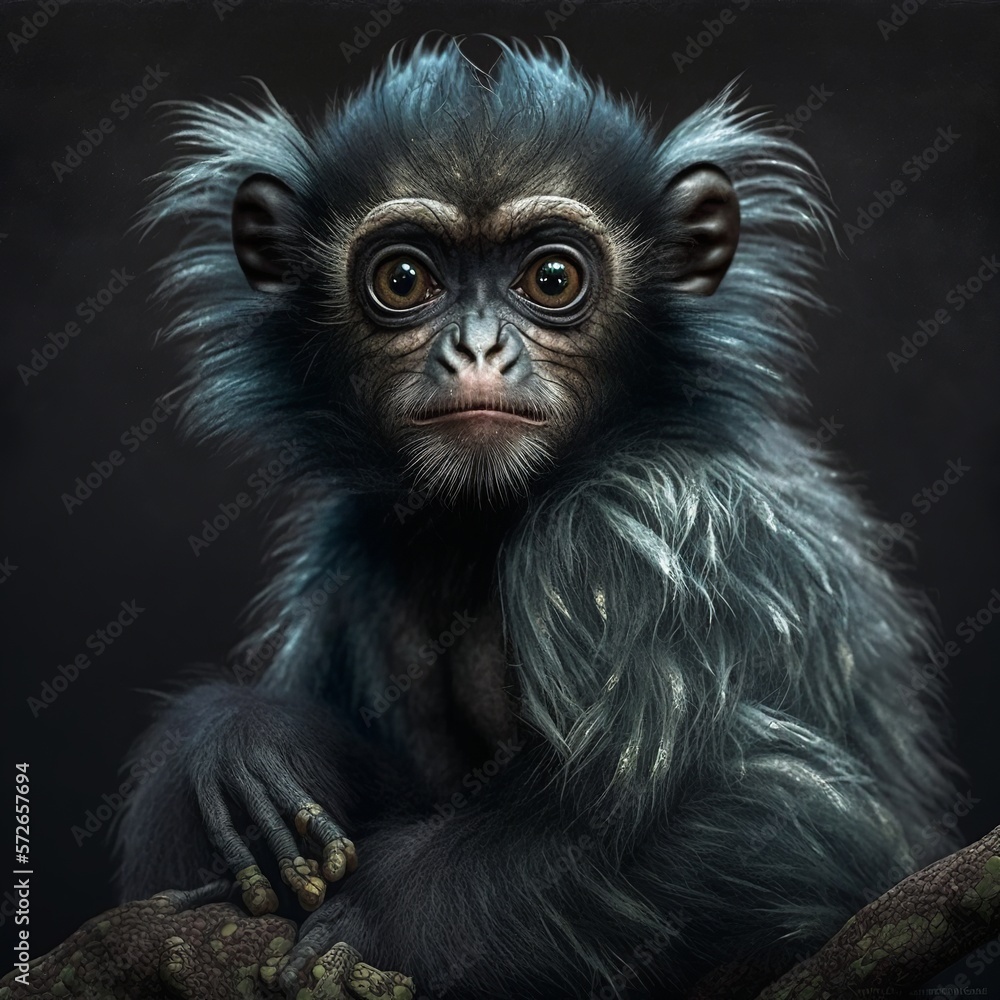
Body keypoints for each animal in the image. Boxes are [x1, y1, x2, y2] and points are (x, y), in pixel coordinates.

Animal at [117, 39, 956, 999]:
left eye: (551, 279)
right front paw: (238, 741)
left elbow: (790, 817)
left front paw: (380, 916)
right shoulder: (357, 553)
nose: (478, 346)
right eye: (404, 278)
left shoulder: (626, 529)